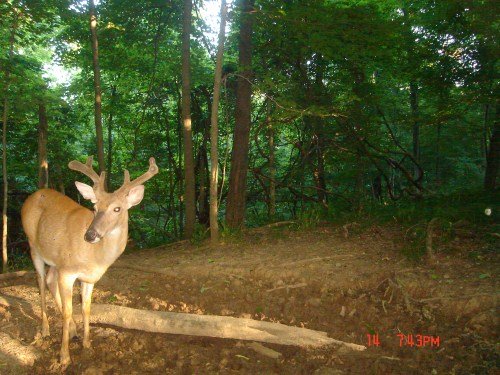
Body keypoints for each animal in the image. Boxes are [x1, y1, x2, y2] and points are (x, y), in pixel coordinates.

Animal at [21, 156, 158, 364]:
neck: (96, 257)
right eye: (94, 207)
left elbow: (86, 308)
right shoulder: (67, 272)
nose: (90, 235)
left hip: (55, 259)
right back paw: (45, 329)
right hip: (33, 245)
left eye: (117, 208)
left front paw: (87, 344)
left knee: (49, 280)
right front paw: (64, 357)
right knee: (41, 282)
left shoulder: (88, 277)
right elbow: (69, 310)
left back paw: (73, 331)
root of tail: (32, 195)